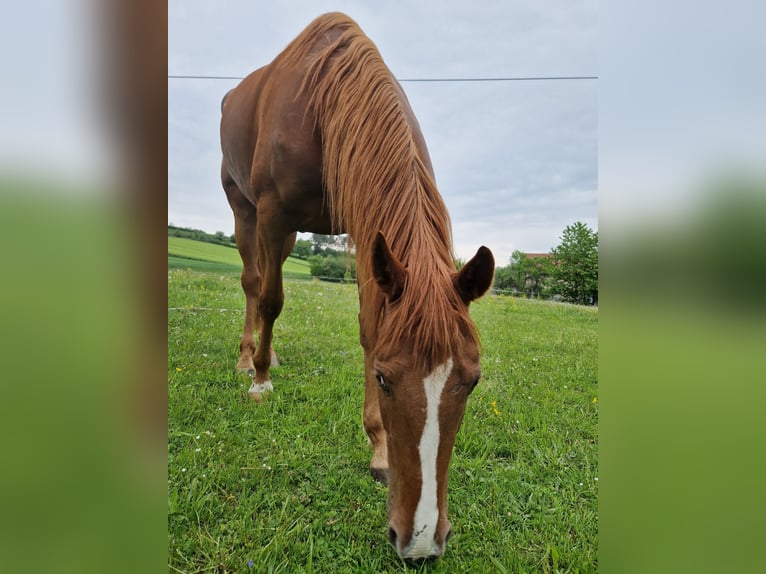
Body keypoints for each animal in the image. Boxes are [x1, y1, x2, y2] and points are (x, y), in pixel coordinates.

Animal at [222, 14, 498, 564]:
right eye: (386, 379)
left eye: (473, 381)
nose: (420, 542)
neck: (321, 103)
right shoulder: (272, 211)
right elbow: (272, 299)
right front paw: (260, 380)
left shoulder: (364, 225)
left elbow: (370, 328)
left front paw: (378, 448)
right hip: (247, 212)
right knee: (253, 283)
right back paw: (250, 359)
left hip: (287, 233)